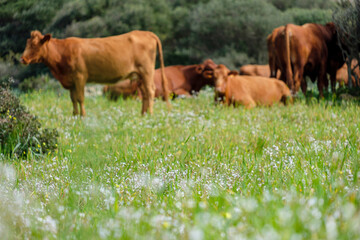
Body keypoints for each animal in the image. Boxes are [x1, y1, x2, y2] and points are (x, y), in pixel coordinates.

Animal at [20, 30, 169, 116]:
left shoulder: (80, 77)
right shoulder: (71, 80)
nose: (23, 59)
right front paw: (74, 115)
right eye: (27, 44)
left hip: (147, 70)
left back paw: (150, 114)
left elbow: (80, 98)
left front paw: (83, 116)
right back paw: (143, 114)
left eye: (34, 45)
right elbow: (73, 98)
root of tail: (146, 33)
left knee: (150, 91)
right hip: (139, 75)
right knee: (144, 93)